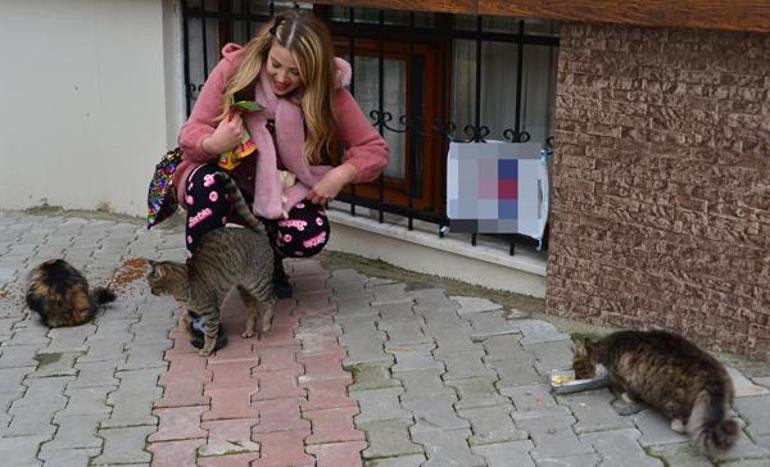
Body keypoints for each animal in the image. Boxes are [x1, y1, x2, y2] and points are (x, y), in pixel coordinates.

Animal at [146, 174, 274, 356]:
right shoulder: (196, 312)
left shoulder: (211, 312)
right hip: (244, 288)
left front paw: (207, 348)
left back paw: (267, 323)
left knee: (271, 300)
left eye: (152, 284)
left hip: (257, 284)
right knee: (253, 309)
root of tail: (258, 233)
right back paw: (249, 330)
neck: (184, 286)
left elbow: (210, 332)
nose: (150, 291)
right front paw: (191, 334)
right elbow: (184, 322)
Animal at [572, 330, 736, 458]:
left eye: (578, 369)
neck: (608, 348)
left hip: (672, 401)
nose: (576, 378)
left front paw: (627, 396)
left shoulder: (630, 375)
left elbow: (631, 391)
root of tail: (712, 376)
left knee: (683, 422)